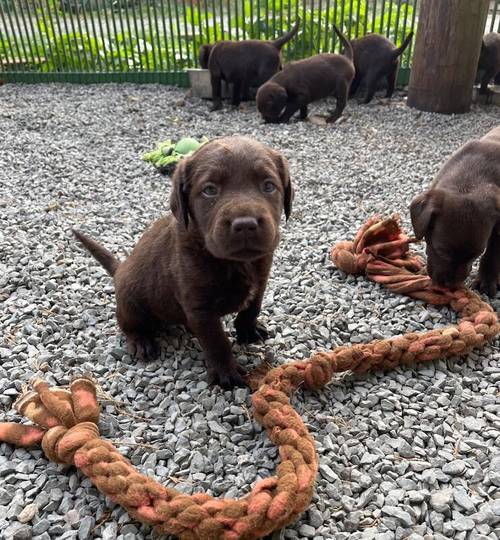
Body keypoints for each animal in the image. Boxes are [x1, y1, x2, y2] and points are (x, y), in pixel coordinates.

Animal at [73, 135, 292, 388]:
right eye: (209, 190)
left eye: (269, 186)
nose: (245, 224)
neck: (234, 263)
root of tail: (120, 269)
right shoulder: (200, 308)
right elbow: (216, 341)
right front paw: (226, 373)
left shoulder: (261, 278)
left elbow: (252, 307)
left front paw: (248, 330)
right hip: (130, 302)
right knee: (129, 325)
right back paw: (141, 342)